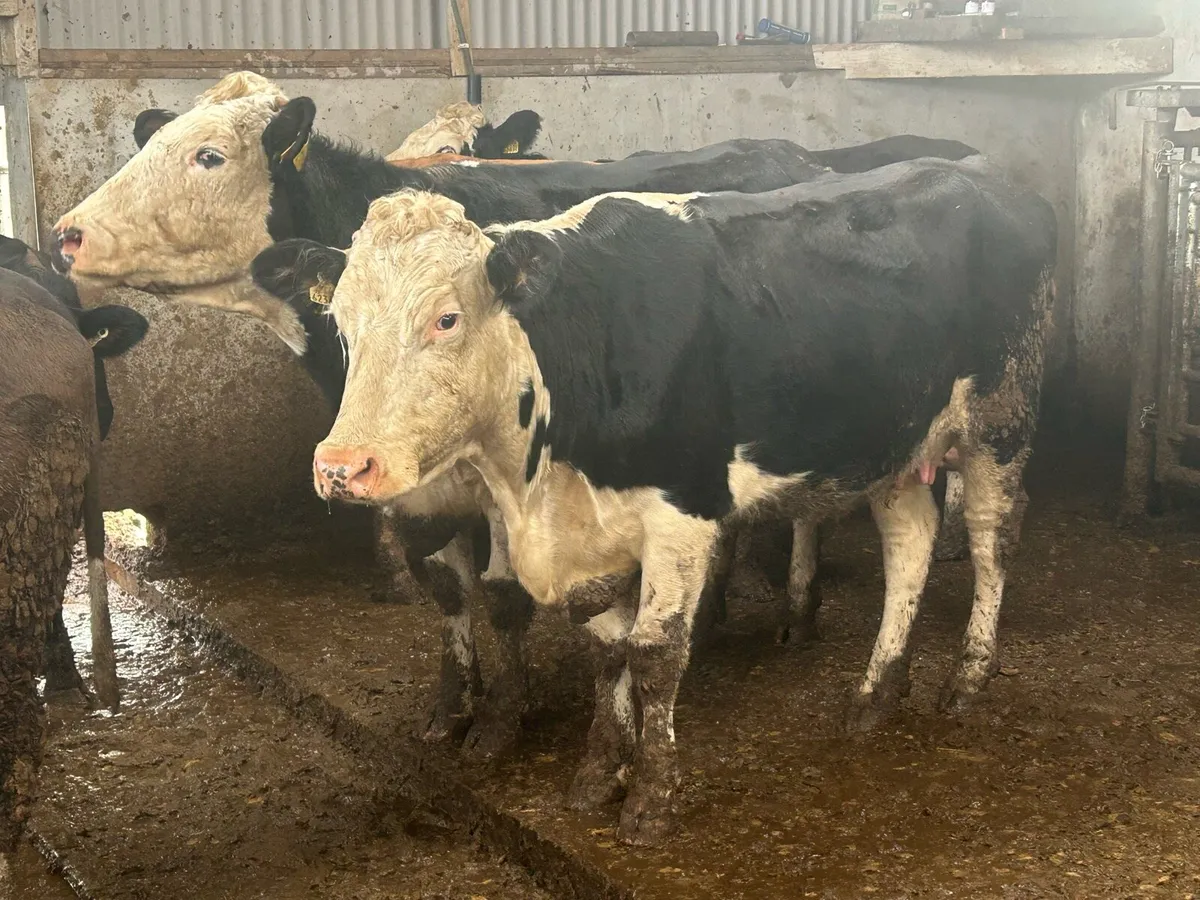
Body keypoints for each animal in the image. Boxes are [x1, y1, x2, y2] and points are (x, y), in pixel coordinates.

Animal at [263, 158, 1057, 845]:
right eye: (342, 323)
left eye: (447, 318)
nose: (343, 467)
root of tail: (982, 176)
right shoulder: (598, 539)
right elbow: (606, 649)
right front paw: (598, 769)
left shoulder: (683, 514)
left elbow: (654, 654)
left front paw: (650, 797)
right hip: (893, 441)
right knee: (909, 545)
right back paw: (876, 692)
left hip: (1001, 419)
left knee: (990, 541)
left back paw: (968, 678)